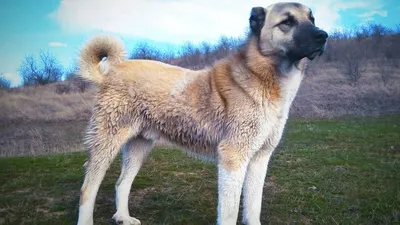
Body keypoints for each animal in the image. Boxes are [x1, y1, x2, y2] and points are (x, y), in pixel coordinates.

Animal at [76, 2, 326, 225]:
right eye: (287, 22)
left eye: (312, 19)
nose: (323, 36)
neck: (262, 76)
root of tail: (111, 71)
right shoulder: (232, 158)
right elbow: (229, 212)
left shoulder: (259, 159)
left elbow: (253, 208)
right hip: (106, 143)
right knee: (88, 189)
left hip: (139, 147)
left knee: (122, 183)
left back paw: (123, 218)